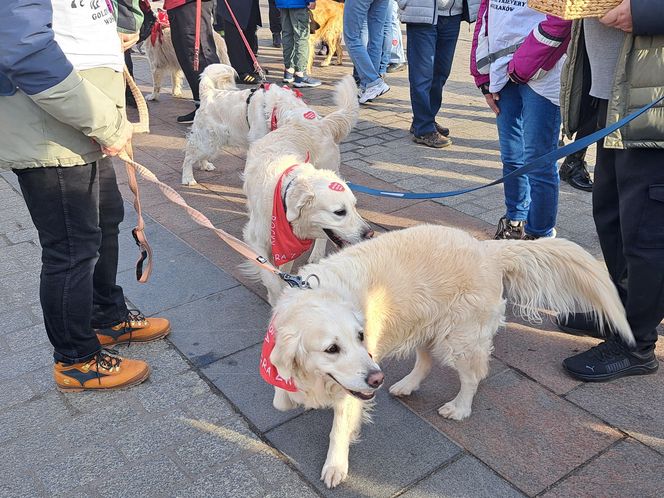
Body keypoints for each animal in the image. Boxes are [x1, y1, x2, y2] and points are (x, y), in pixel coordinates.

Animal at [268, 225, 632, 486]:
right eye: (331, 348)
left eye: (361, 337)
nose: (376, 378)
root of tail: (486, 248)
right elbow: (282, 394)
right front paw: (290, 397)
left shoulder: (354, 386)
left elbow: (339, 428)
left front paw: (335, 467)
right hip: (426, 326)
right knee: (426, 362)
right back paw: (405, 386)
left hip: (459, 339)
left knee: (473, 376)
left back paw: (459, 408)